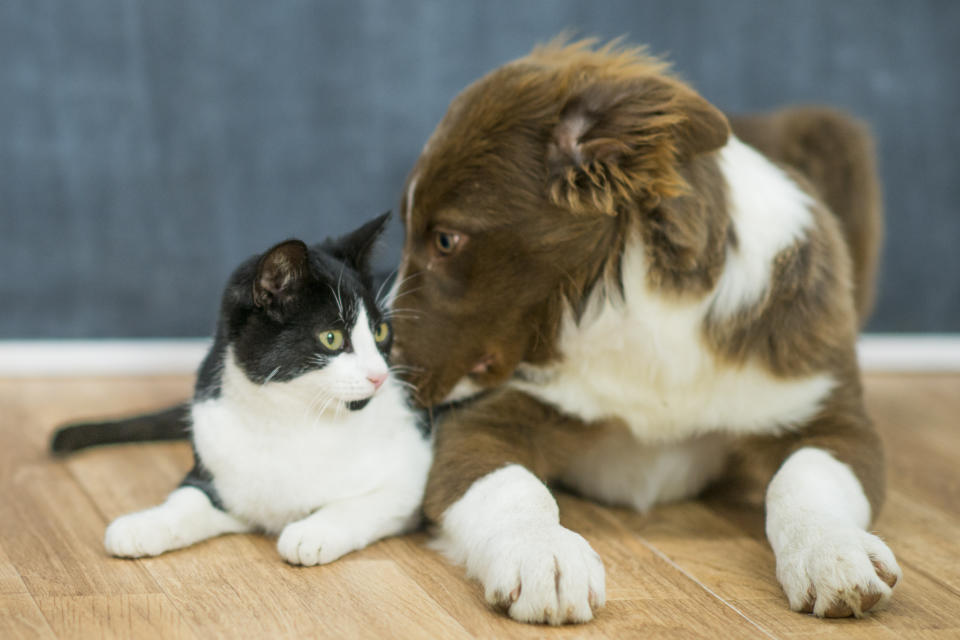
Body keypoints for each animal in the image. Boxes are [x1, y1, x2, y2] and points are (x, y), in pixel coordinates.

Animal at [78, 215, 432, 564]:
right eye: (331, 338)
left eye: (381, 331)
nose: (380, 376)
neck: (287, 418)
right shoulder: (221, 471)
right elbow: (189, 498)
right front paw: (143, 525)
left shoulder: (413, 473)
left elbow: (368, 502)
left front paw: (312, 533)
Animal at [386, 41, 896, 624]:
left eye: (446, 240)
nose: (381, 367)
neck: (633, 312)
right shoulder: (482, 418)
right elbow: (510, 486)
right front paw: (543, 552)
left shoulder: (828, 413)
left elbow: (805, 476)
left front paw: (833, 549)